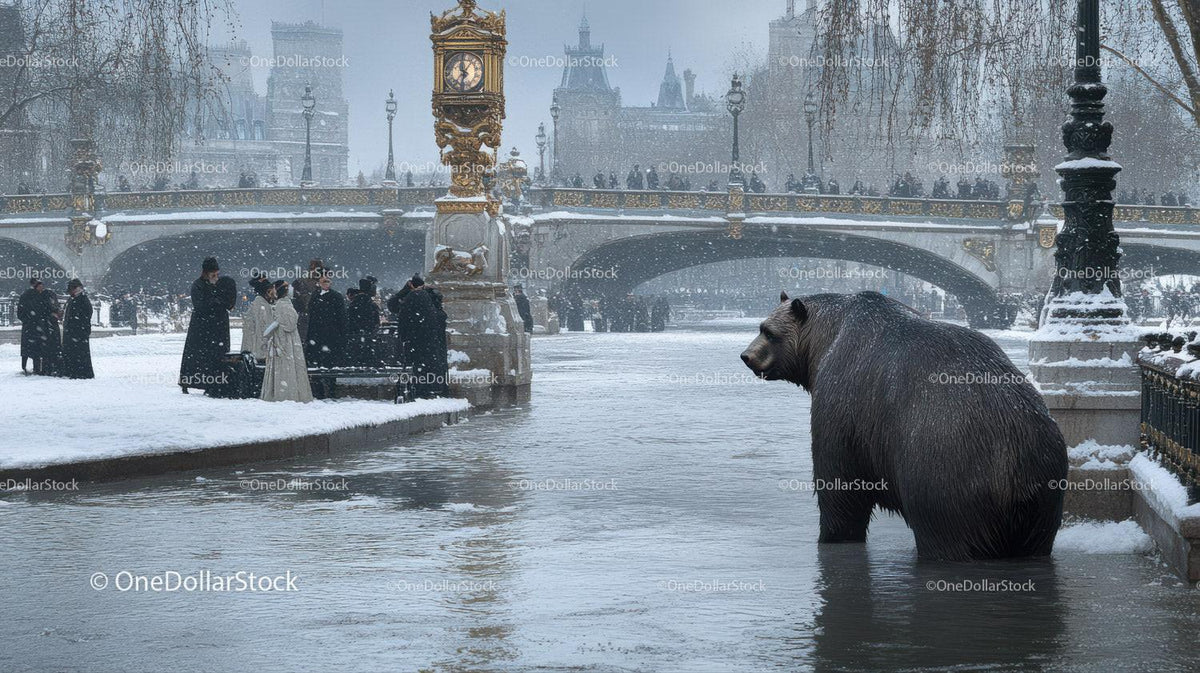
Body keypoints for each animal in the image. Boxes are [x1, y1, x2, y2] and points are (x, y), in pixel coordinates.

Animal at [740, 291, 1067, 561]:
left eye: (768, 331)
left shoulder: (844, 403)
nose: (747, 356)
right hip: (1044, 497)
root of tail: (1015, 467)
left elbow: (840, 483)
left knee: (948, 538)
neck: (825, 340)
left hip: (949, 479)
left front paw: (833, 535)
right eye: (761, 326)